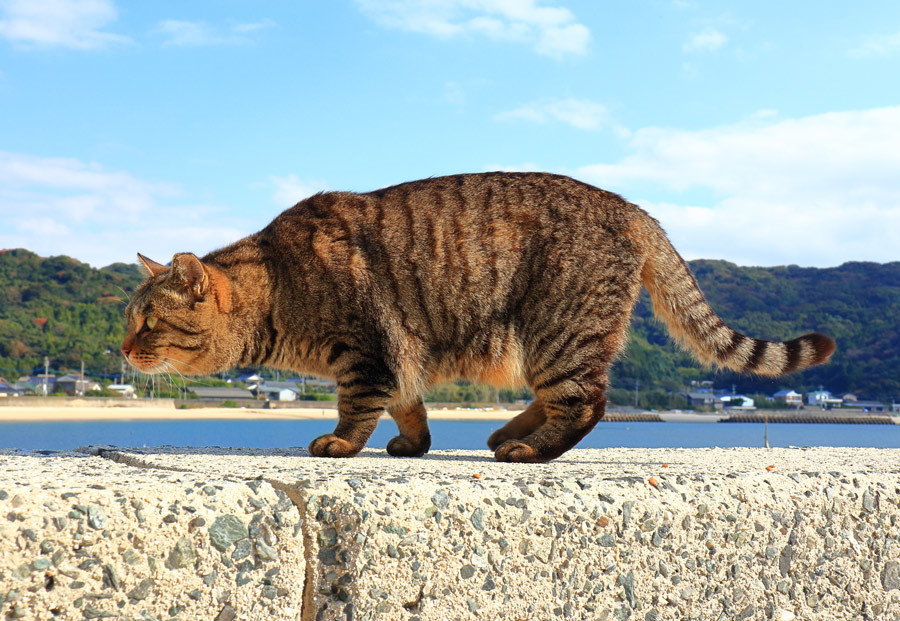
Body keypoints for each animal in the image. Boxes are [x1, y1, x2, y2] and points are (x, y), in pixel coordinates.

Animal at [121, 172, 836, 462]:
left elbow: (358, 406)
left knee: (588, 401)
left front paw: (343, 443)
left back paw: (527, 448)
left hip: (556, 330)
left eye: (148, 324)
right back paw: (506, 432)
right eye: (128, 322)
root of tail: (630, 205)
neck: (276, 288)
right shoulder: (400, 352)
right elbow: (408, 403)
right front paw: (413, 443)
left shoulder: (366, 349)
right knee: (565, 396)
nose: (124, 350)